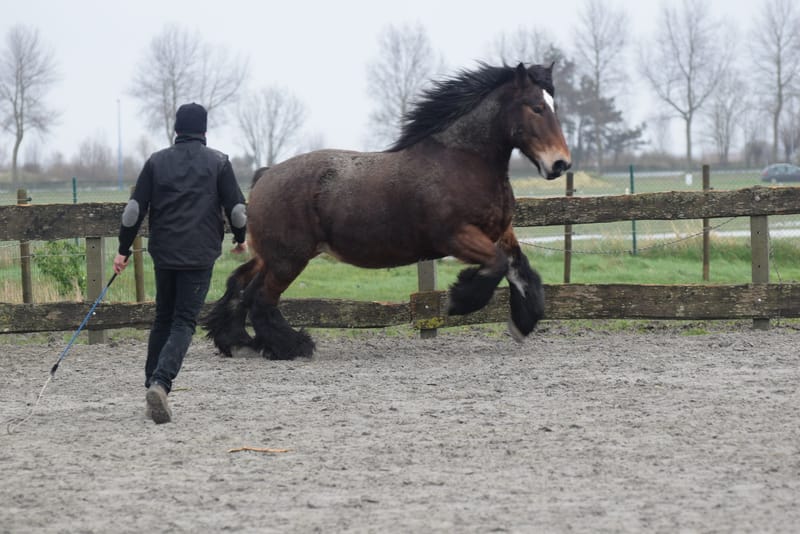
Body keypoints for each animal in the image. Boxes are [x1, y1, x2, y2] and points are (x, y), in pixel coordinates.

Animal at [203, 62, 571, 359]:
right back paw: (292, 346)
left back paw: (239, 343)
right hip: (288, 259)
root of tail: (264, 176)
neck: (463, 161)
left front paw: (523, 322)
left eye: (553, 105)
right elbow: (495, 267)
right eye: (537, 107)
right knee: (260, 300)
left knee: (240, 286)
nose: (560, 163)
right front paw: (458, 300)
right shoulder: (456, 237)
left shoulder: (501, 232)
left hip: (273, 256)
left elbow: (522, 272)